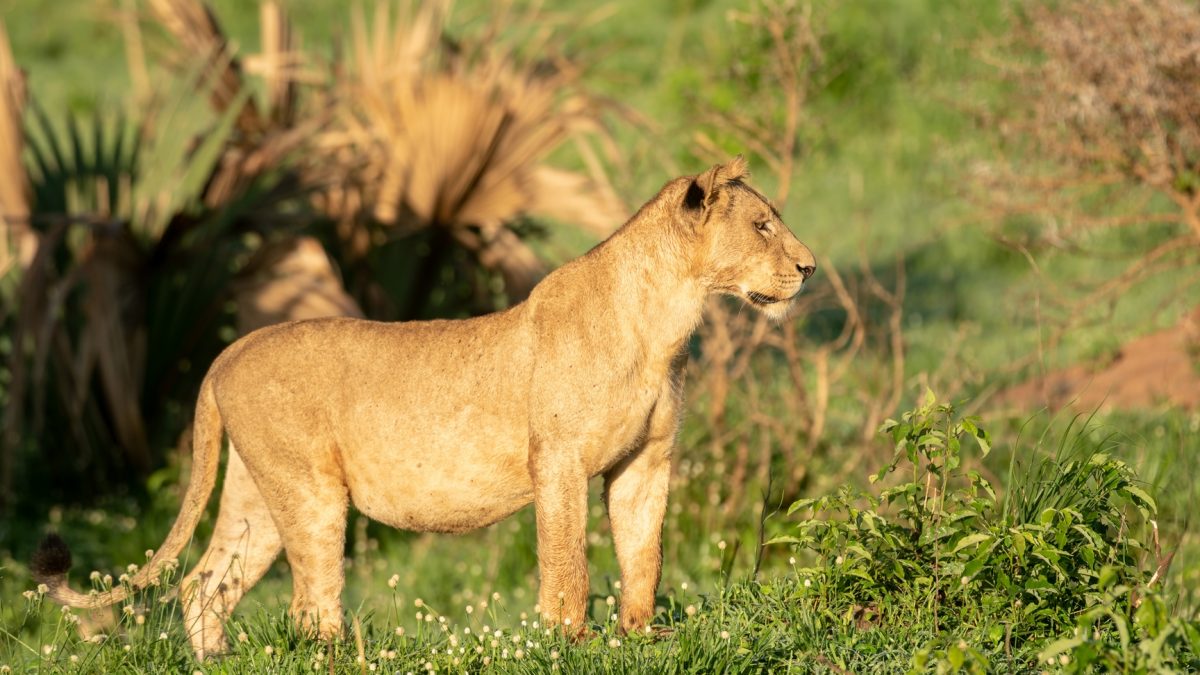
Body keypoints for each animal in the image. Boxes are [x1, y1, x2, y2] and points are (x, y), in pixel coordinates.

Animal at [32, 154, 816, 653]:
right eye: (763, 226)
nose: (809, 269)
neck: (666, 320)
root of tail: (231, 349)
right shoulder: (558, 461)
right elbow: (567, 562)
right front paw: (572, 642)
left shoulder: (645, 463)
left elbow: (643, 554)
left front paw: (640, 635)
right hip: (311, 492)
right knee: (308, 605)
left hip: (258, 490)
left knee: (205, 584)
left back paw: (216, 661)